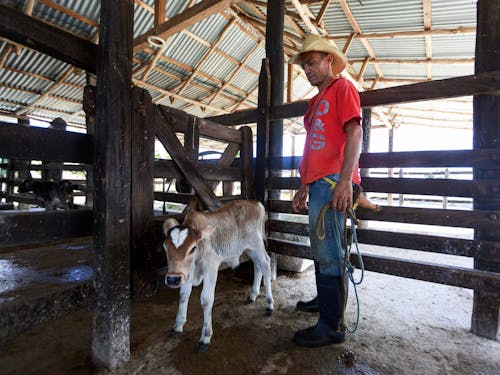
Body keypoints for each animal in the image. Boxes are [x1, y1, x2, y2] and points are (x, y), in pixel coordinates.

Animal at [162, 200, 274, 352]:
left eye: (192, 248)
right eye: (165, 248)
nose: (173, 279)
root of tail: (255, 203)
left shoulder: (211, 267)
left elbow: (206, 300)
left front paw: (205, 337)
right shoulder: (186, 273)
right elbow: (183, 295)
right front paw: (178, 326)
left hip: (256, 244)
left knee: (266, 264)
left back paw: (269, 304)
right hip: (249, 249)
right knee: (257, 266)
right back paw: (253, 294)